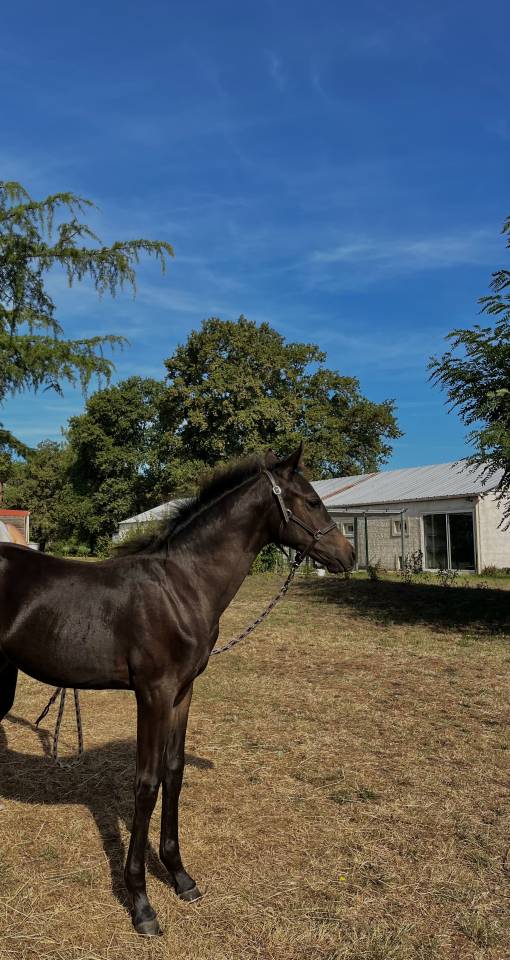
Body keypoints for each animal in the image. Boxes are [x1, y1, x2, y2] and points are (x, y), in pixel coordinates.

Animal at [0, 444, 355, 936]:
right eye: (312, 501)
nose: (349, 554)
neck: (181, 587)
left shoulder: (183, 691)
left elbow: (174, 771)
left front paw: (180, 876)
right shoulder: (153, 693)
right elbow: (147, 783)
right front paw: (141, 903)